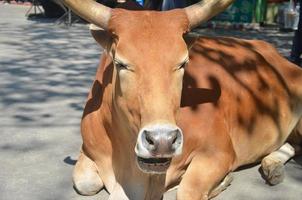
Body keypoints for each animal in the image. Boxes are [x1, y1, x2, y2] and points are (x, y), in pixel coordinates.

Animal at [62, 0, 302, 199]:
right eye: (120, 63)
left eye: (183, 63)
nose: (162, 141)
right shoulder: (88, 151)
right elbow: (85, 183)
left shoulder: (219, 153)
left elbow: (187, 191)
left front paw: (222, 181)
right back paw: (273, 167)